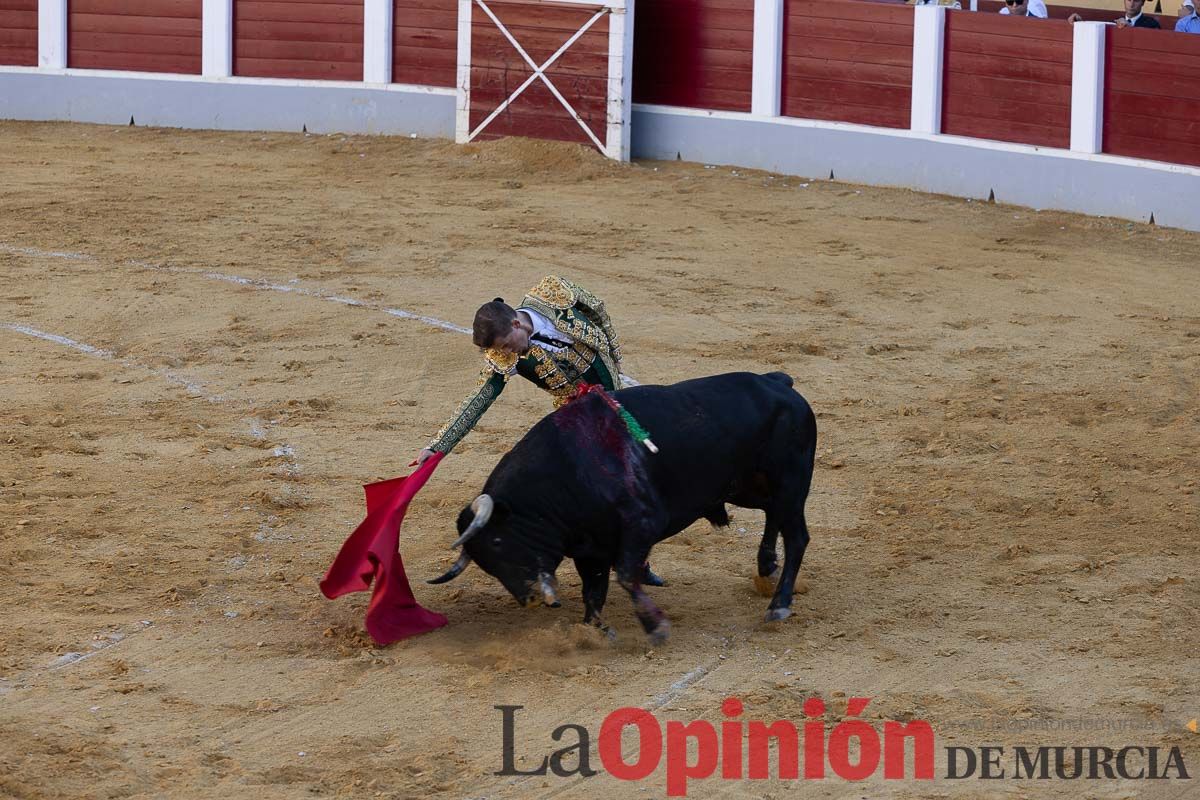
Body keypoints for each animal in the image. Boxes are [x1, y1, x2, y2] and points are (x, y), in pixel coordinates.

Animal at [429, 371, 816, 642]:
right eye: (486, 564)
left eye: (497, 541)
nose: (531, 599)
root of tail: (778, 382)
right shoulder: (590, 549)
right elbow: (593, 591)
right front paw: (593, 631)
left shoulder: (642, 524)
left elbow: (627, 575)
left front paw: (655, 627)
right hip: (746, 487)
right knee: (772, 513)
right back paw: (766, 566)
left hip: (791, 482)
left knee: (797, 536)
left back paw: (779, 604)